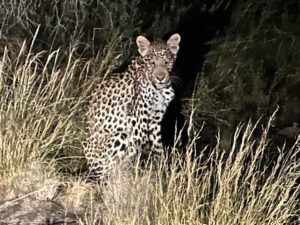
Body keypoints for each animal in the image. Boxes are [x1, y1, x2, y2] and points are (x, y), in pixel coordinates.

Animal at [83, 33, 180, 179]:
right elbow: (140, 150)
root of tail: (90, 166)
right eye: (152, 63)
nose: (160, 77)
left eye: (166, 62)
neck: (160, 90)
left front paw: (161, 171)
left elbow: (157, 149)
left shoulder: (154, 122)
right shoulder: (138, 122)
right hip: (120, 135)